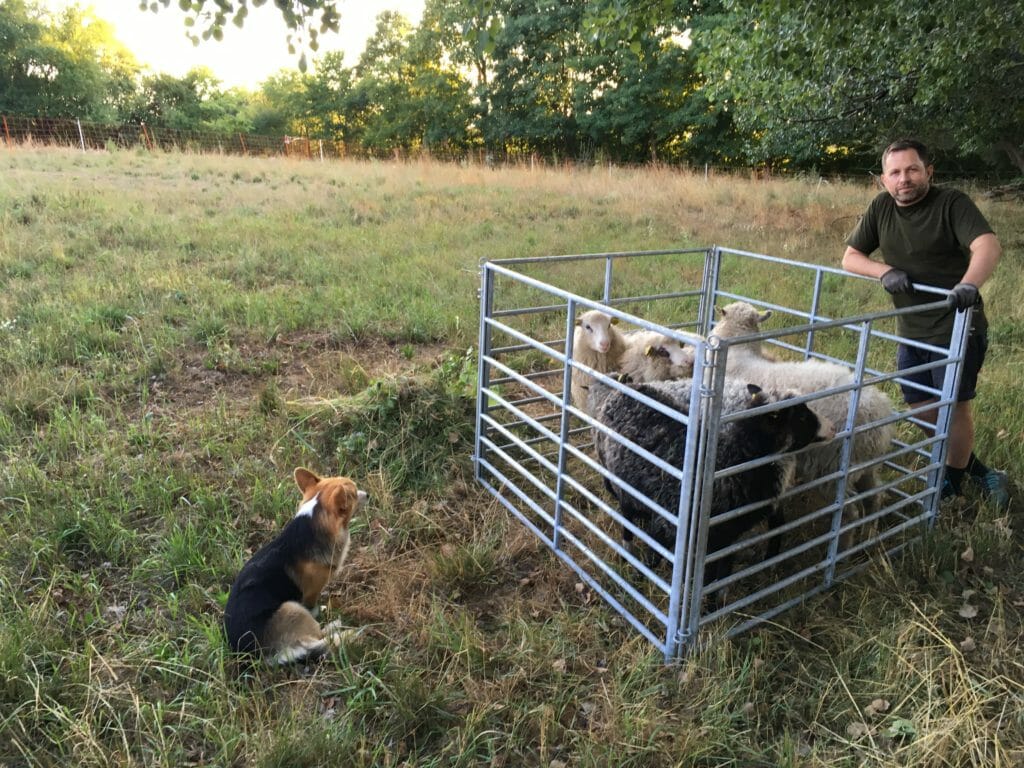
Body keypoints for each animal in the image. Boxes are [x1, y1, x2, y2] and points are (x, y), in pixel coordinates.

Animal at [224, 466, 368, 663]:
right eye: (353, 493)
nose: (368, 494)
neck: (314, 522)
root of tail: (264, 655)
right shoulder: (312, 593)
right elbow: (313, 608)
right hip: (292, 608)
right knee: (320, 637)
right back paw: (336, 627)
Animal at [585, 378, 831, 589]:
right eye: (801, 417)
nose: (830, 427)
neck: (735, 458)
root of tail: (625, 389)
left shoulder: (724, 538)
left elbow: (718, 577)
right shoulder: (671, 526)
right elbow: (656, 558)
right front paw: (639, 579)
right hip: (623, 485)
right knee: (627, 519)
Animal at [712, 301, 897, 528]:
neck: (740, 354)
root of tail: (877, 412)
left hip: (832, 466)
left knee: (850, 511)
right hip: (865, 465)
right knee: (875, 496)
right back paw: (869, 533)